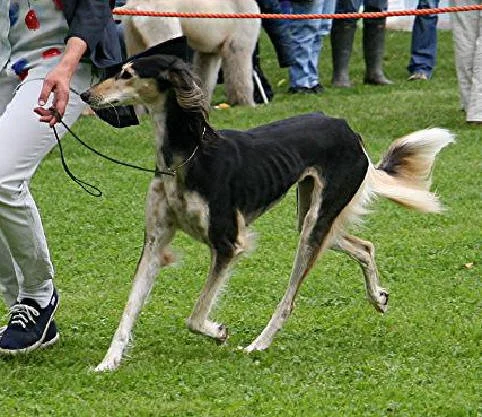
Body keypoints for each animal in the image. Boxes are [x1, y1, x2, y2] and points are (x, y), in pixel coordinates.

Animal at [80, 51, 454, 371]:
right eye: (118, 70)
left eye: (127, 74)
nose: (85, 95)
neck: (187, 155)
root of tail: (346, 127)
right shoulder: (155, 242)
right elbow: (129, 308)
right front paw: (108, 362)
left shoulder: (228, 243)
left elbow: (196, 315)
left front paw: (218, 332)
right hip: (311, 217)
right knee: (364, 246)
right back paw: (377, 297)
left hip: (315, 223)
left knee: (290, 299)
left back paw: (259, 343)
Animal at [119, 0, 261, 106]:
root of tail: (134, 5)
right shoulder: (239, 36)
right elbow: (240, 68)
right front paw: (247, 104)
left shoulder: (208, 51)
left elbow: (206, 71)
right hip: (160, 22)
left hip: (132, 34)